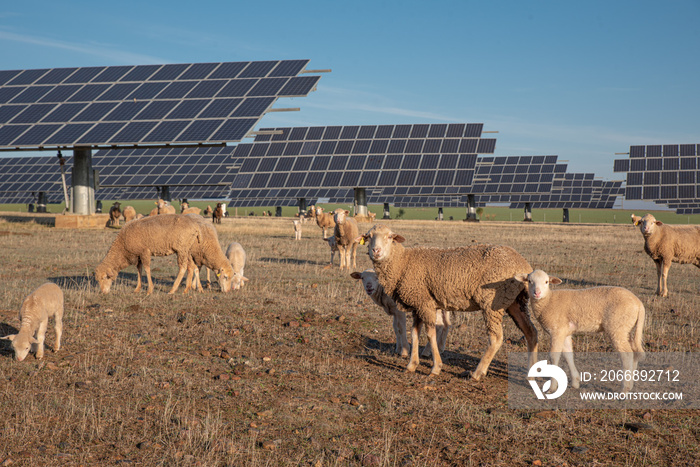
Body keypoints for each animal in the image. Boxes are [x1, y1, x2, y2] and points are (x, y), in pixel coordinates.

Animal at [358, 224, 540, 380]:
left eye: (389, 236)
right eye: (369, 237)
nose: (376, 251)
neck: (402, 263)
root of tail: (524, 265)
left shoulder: (425, 304)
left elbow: (430, 334)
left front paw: (435, 368)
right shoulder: (418, 303)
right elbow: (415, 333)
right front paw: (411, 365)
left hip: (492, 303)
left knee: (496, 338)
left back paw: (477, 373)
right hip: (515, 301)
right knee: (531, 332)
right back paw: (531, 373)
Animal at [516, 268, 644, 394]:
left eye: (546, 282)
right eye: (529, 281)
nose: (537, 293)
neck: (548, 301)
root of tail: (638, 303)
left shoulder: (557, 331)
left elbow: (554, 356)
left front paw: (552, 388)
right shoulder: (565, 332)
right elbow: (568, 354)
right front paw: (575, 382)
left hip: (617, 326)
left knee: (627, 354)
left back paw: (624, 389)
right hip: (627, 328)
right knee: (635, 352)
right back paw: (630, 384)